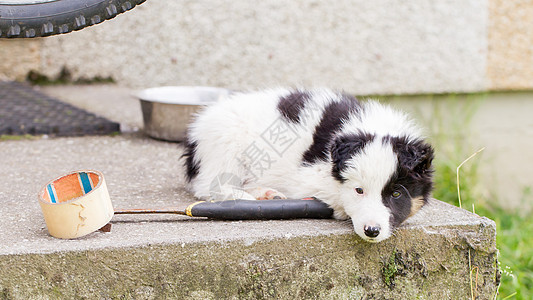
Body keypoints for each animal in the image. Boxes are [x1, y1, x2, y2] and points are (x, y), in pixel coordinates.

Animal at [183, 88, 432, 243]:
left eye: (396, 194)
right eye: (359, 190)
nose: (372, 231)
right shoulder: (307, 176)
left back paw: (268, 194)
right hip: (225, 146)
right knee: (211, 184)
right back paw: (246, 199)